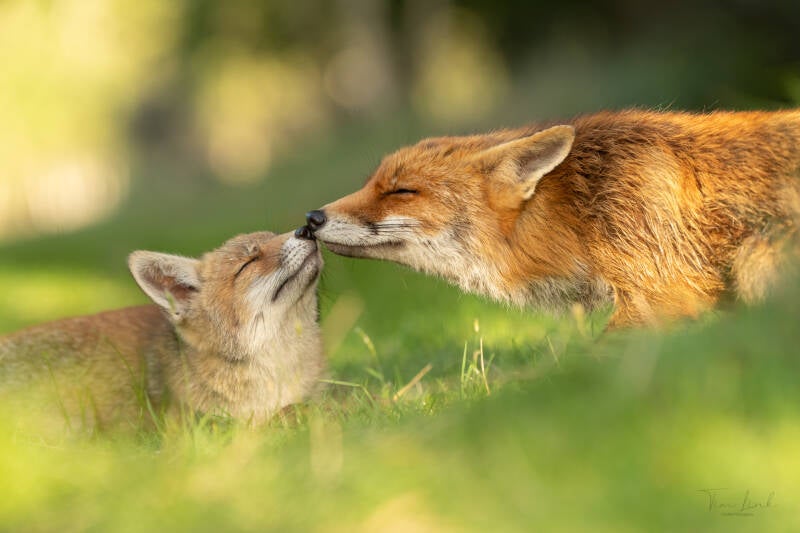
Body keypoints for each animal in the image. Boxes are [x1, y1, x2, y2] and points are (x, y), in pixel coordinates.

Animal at [304, 109, 800, 328]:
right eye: (373, 183)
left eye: (401, 191)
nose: (312, 217)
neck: (580, 216)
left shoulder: (666, 288)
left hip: (757, 257)